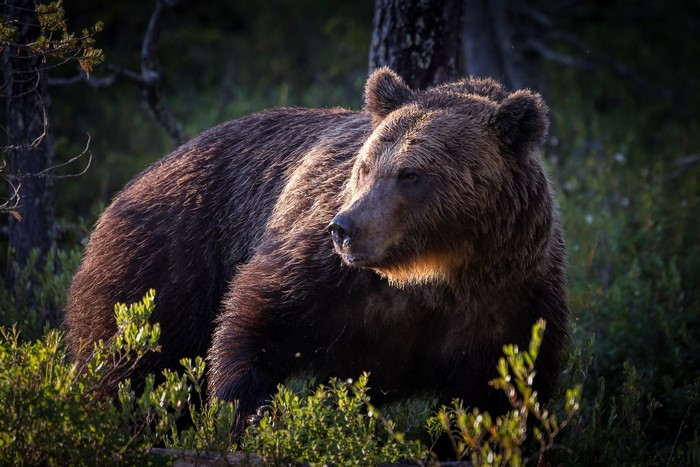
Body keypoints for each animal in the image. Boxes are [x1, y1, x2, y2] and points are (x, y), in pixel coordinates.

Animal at [66, 67, 568, 426]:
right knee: (132, 360)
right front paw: (245, 414)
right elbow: (255, 321)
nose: (345, 228)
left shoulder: (511, 300)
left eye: (410, 174)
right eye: (366, 166)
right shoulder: (326, 272)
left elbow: (500, 399)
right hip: (168, 258)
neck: (436, 273)